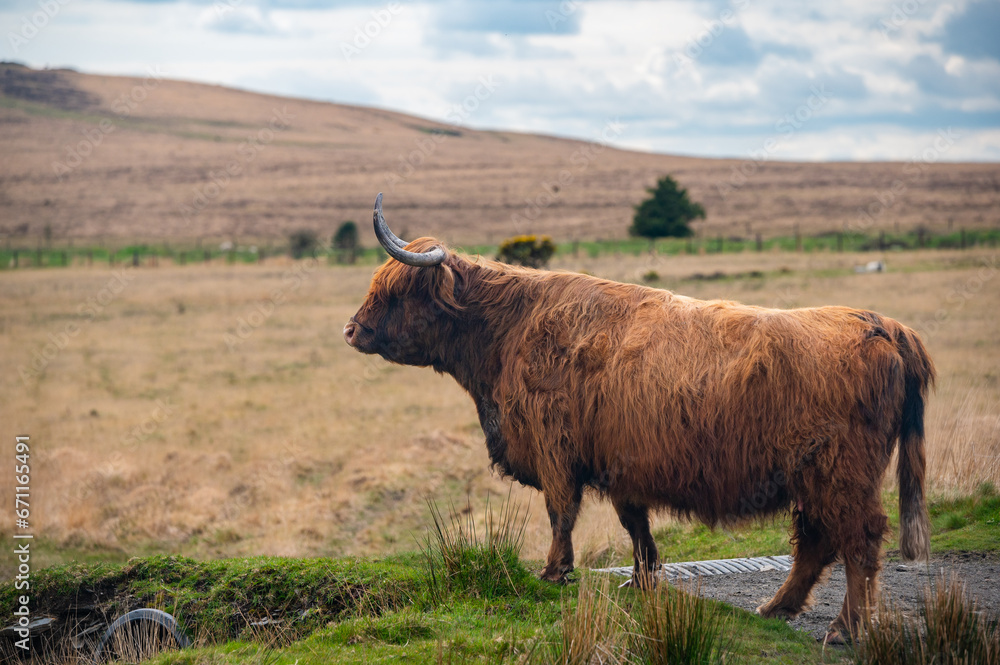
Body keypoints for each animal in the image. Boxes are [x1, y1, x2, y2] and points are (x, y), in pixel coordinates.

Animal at [344, 193, 934, 641]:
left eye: (394, 291)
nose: (351, 330)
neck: (507, 333)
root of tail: (881, 324)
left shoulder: (555, 448)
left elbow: (561, 512)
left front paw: (554, 572)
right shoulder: (620, 460)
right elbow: (635, 523)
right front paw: (642, 581)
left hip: (840, 475)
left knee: (858, 539)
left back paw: (846, 628)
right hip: (812, 479)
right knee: (815, 541)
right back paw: (775, 609)